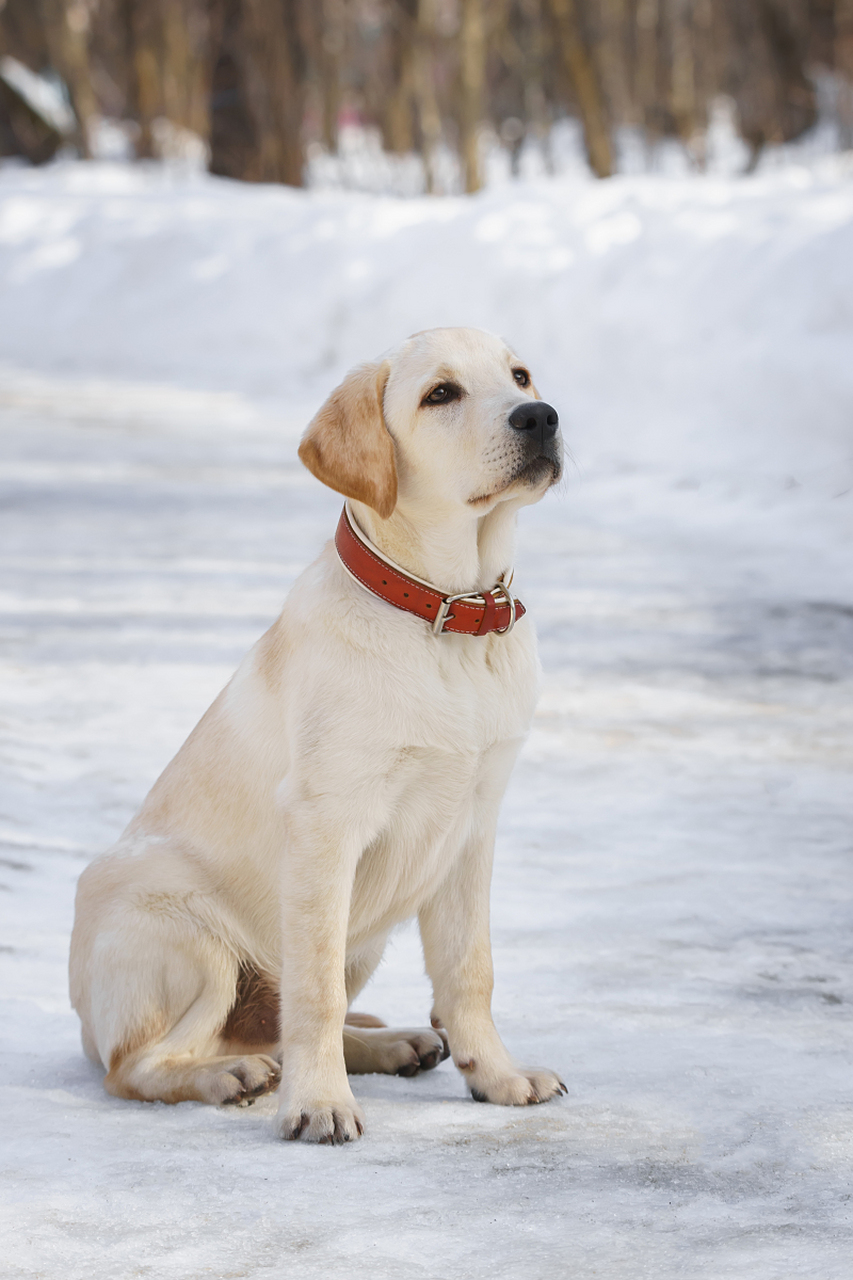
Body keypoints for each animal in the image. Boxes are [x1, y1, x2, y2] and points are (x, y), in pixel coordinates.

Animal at [69, 325, 563, 1146]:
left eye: (520, 376)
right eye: (440, 394)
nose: (540, 417)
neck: (445, 616)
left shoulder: (473, 827)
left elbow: (469, 971)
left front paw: (495, 1076)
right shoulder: (326, 828)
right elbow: (316, 994)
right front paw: (319, 1104)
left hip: (367, 932)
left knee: (271, 1027)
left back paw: (394, 1043)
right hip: (189, 933)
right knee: (137, 1066)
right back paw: (229, 1075)